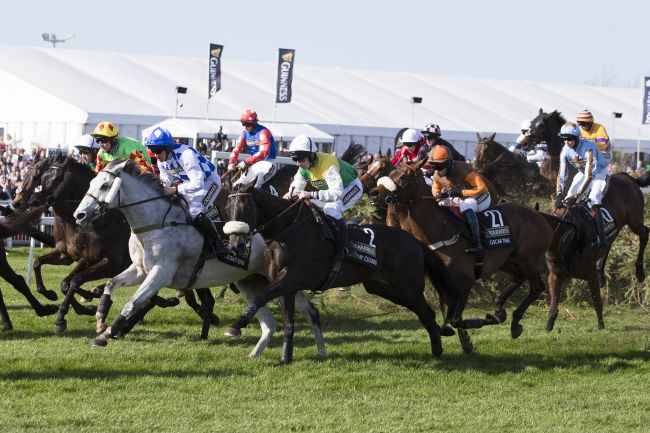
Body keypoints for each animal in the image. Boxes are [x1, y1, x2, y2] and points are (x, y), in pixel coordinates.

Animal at [71, 159, 324, 358]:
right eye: (91, 183)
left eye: (105, 185)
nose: (79, 215)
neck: (155, 223)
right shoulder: (140, 270)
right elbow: (111, 284)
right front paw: (100, 317)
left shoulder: (160, 273)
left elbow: (132, 302)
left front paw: (107, 333)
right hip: (256, 281)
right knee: (286, 318)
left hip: (282, 280)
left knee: (305, 312)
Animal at [223, 181, 460, 362]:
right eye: (227, 209)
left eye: (245, 208)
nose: (235, 245)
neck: (286, 230)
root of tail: (416, 243)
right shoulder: (286, 285)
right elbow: (289, 323)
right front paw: (285, 357)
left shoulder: (288, 279)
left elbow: (260, 298)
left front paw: (235, 327)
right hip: (384, 289)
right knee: (425, 313)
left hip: (407, 288)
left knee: (427, 313)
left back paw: (438, 350)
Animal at [370, 160, 552, 340]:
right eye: (391, 172)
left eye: (404, 176)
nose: (374, 193)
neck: (441, 231)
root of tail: (537, 214)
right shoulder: (442, 282)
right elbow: (445, 317)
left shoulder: (465, 281)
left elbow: (455, 319)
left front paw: (478, 324)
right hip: (508, 261)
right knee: (519, 277)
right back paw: (501, 310)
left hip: (527, 259)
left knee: (537, 286)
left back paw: (513, 321)